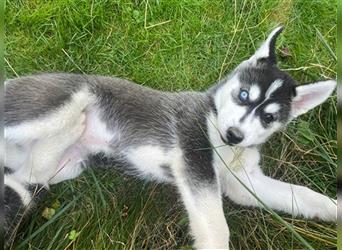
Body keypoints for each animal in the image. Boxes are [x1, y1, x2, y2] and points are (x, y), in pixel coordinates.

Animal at [4, 26, 336, 249]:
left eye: (268, 117)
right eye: (243, 95)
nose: (234, 135)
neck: (216, 126)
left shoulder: (242, 181)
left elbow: (300, 194)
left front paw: (335, 208)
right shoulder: (195, 160)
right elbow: (217, 228)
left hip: (65, 165)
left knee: (26, 175)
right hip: (49, 109)